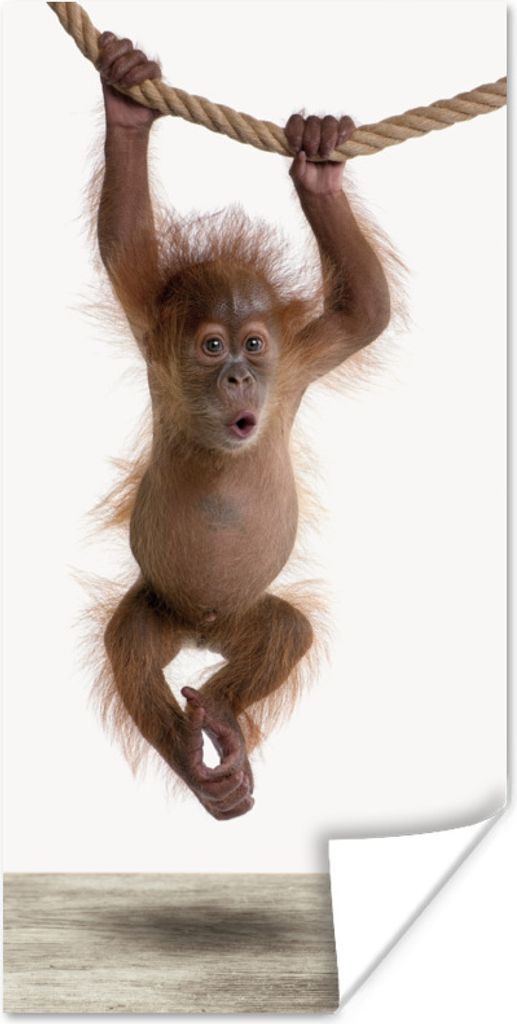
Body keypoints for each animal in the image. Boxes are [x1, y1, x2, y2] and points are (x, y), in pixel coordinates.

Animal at [93, 31, 391, 821]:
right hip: (161, 607)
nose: (237, 377)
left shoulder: (300, 363)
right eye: (211, 346)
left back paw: (223, 724)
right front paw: (126, 103)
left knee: (285, 631)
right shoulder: (153, 331)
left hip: (244, 617)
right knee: (130, 646)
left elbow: (365, 311)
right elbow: (123, 240)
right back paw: (201, 766)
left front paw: (318, 163)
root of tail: (202, 631)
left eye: (254, 344)